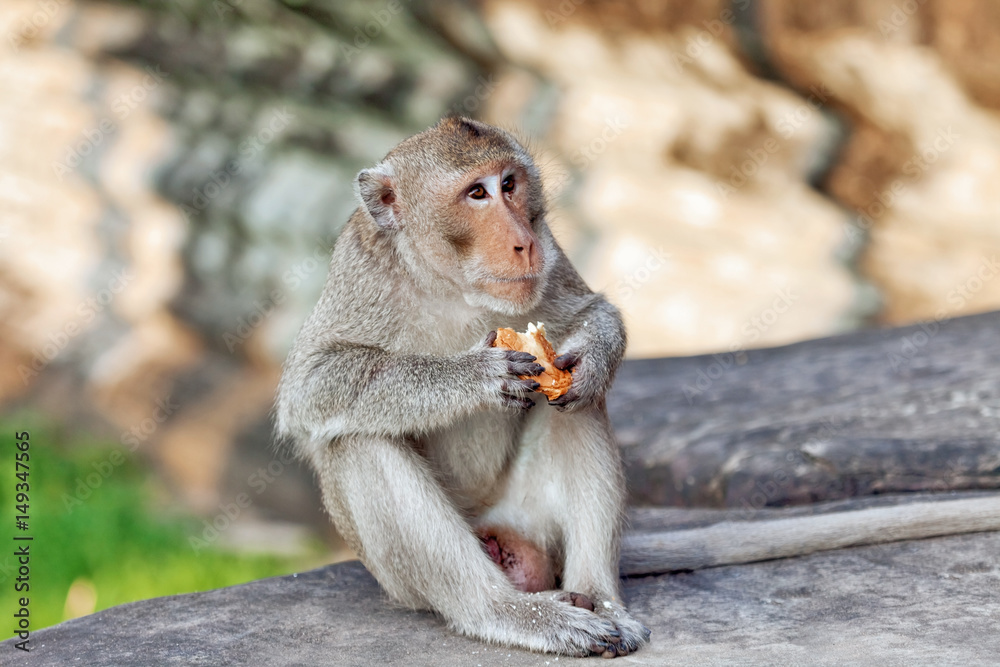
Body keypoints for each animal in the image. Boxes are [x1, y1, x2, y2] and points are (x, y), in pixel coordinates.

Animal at [274, 116, 648, 656]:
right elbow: (311, 383)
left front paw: (593, 357)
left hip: (527, 517)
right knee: (358, 439)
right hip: (400, 582)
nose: (524, 242)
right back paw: (507, 612)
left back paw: (599, 599)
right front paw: (475, 376)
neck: (452, 285)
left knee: (578, 407)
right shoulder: (360, 269)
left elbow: (588, 314)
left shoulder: (551, 250)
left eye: (509, 184)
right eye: (477, 193)